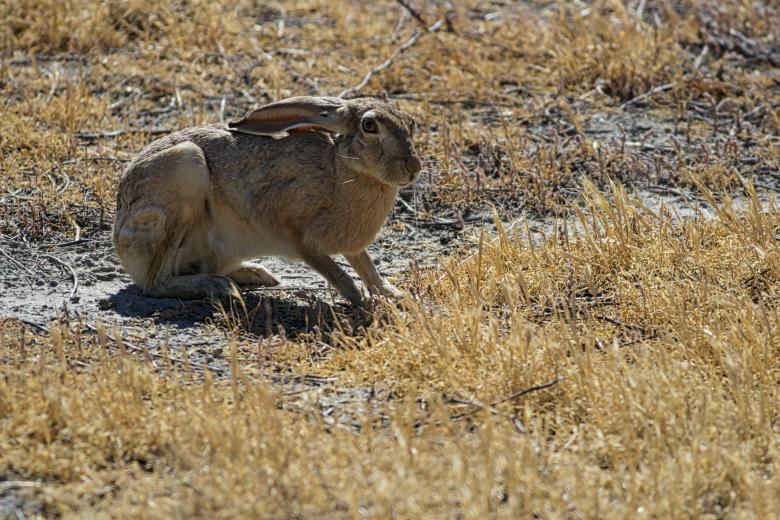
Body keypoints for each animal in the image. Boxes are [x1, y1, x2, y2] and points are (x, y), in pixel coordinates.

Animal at [113, 96, 422, 307]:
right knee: (157, 282)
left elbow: (366, 266)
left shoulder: (351, 246)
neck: (343, 166)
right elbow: (336, 272)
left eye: (411, 123)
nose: (413, 168)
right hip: (184, 171)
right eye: (369, 125)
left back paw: (255, 274)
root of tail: (120, 241)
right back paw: (219, 286)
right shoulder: (299, 235)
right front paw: (360, 300)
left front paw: (393, 294)